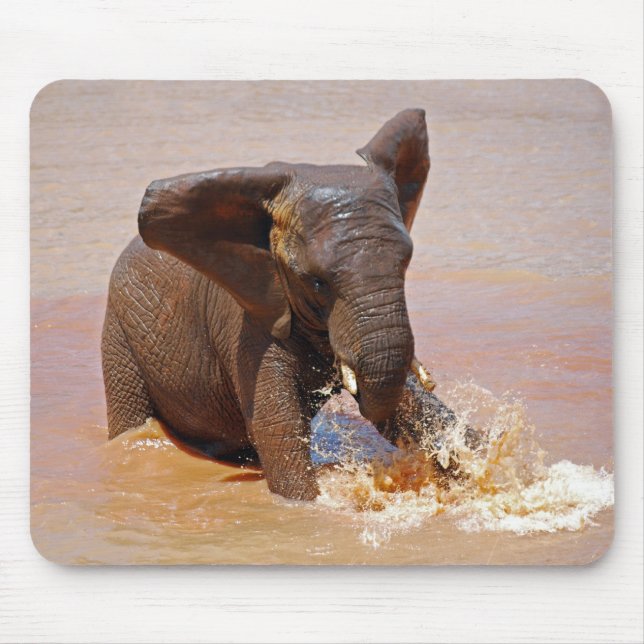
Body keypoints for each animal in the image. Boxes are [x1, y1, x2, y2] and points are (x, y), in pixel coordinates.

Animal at [101, 108, 477, 500]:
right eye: (317, 282)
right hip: (119, 334)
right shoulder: (248, 323)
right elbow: (276, 428)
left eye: (405, 263)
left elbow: (406, 405)